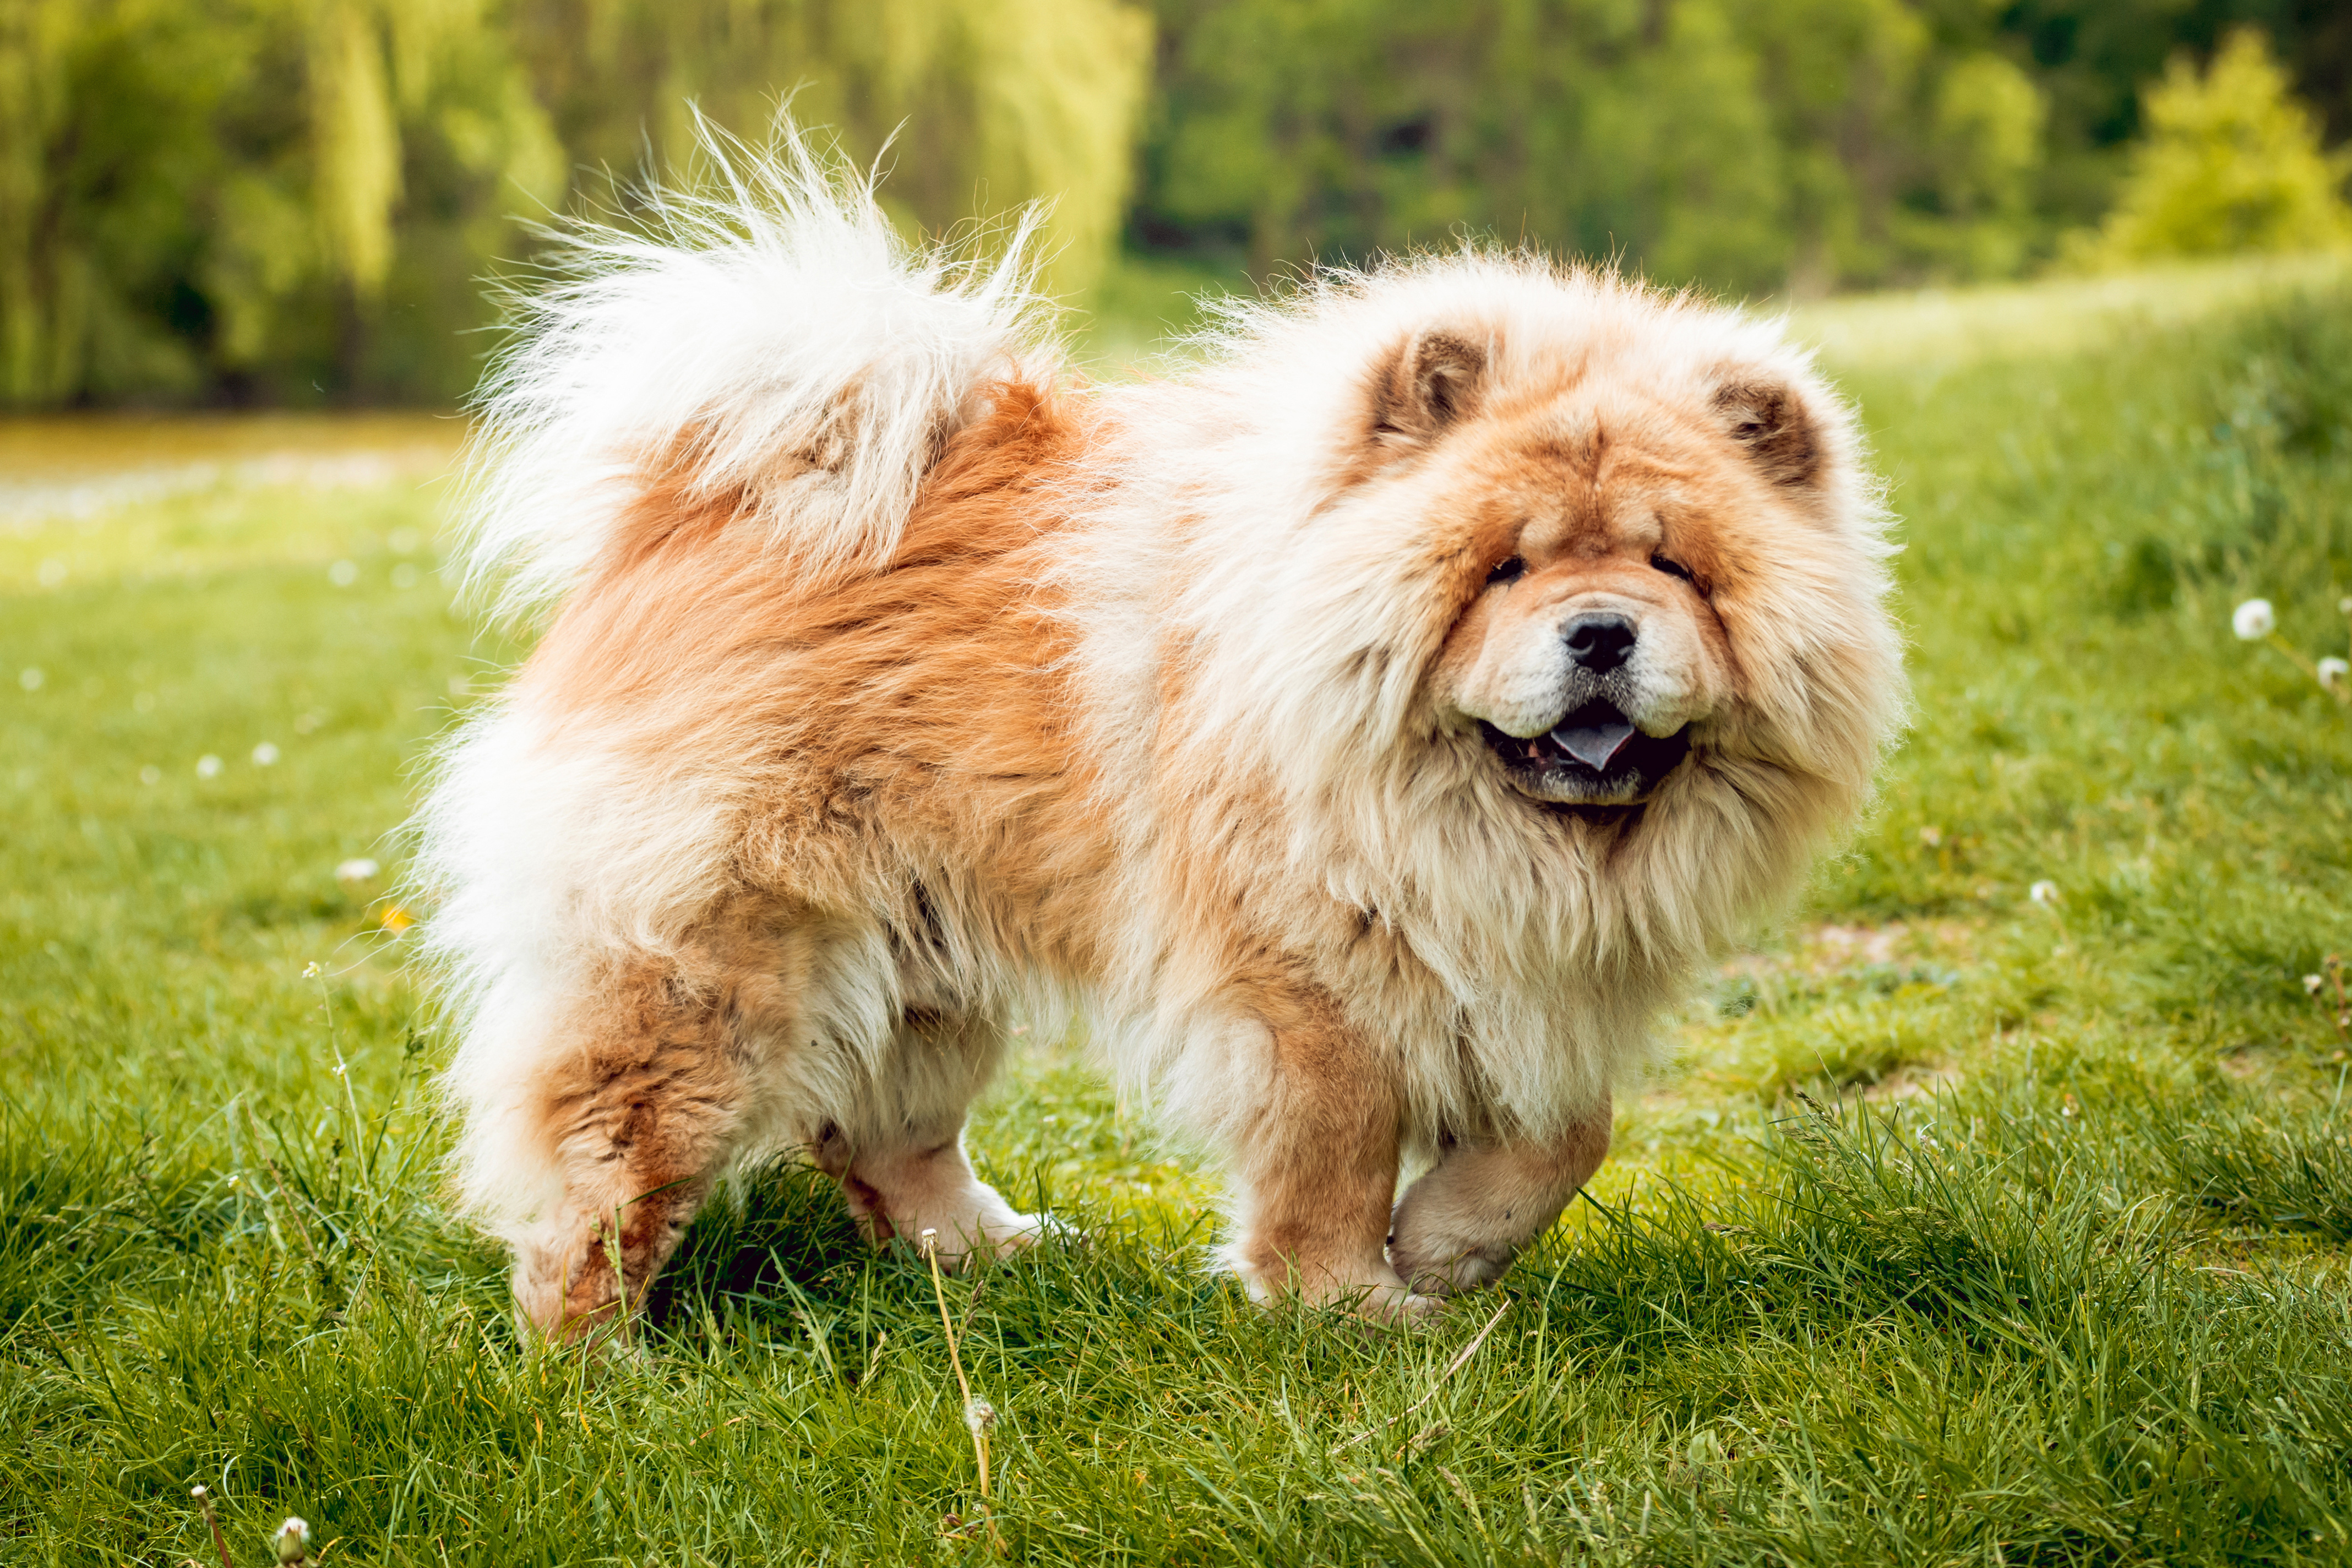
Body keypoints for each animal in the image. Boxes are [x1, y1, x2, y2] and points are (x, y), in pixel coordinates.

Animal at [413, 138, 1900, 1335]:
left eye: (1674, 567)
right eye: (1504, 570)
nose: (1601, 632)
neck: (1464, 815)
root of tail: (695, 501)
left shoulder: (1532, 969)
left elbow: (1566, 1135)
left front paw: (1447, 1247)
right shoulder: (1310, 982)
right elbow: (1334, 1152)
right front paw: (1351, 1304)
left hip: (915, 950)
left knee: (883, 1131)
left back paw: (1001, 1253)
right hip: (709, 962)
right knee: (606, 1159)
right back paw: (595, 1364)